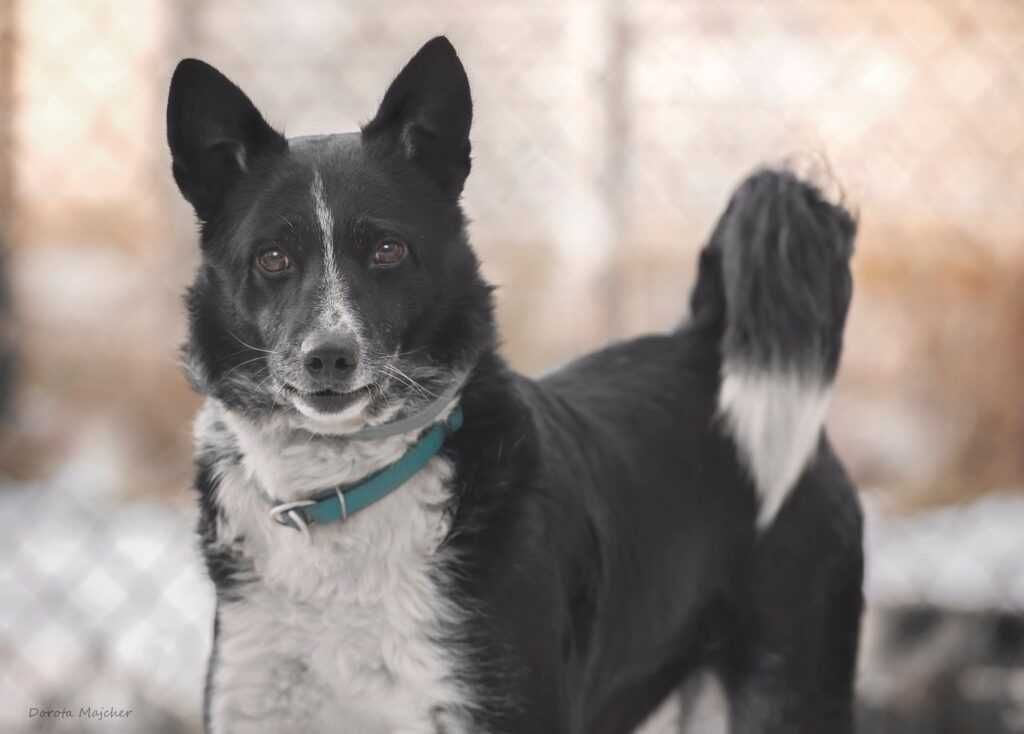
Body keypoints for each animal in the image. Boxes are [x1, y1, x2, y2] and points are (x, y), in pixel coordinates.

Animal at [167, 35, 864, 732]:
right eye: (272, 259)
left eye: (388, 250)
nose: (328, 359)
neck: (343, 487)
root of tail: (705, 341)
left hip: (790, 690)